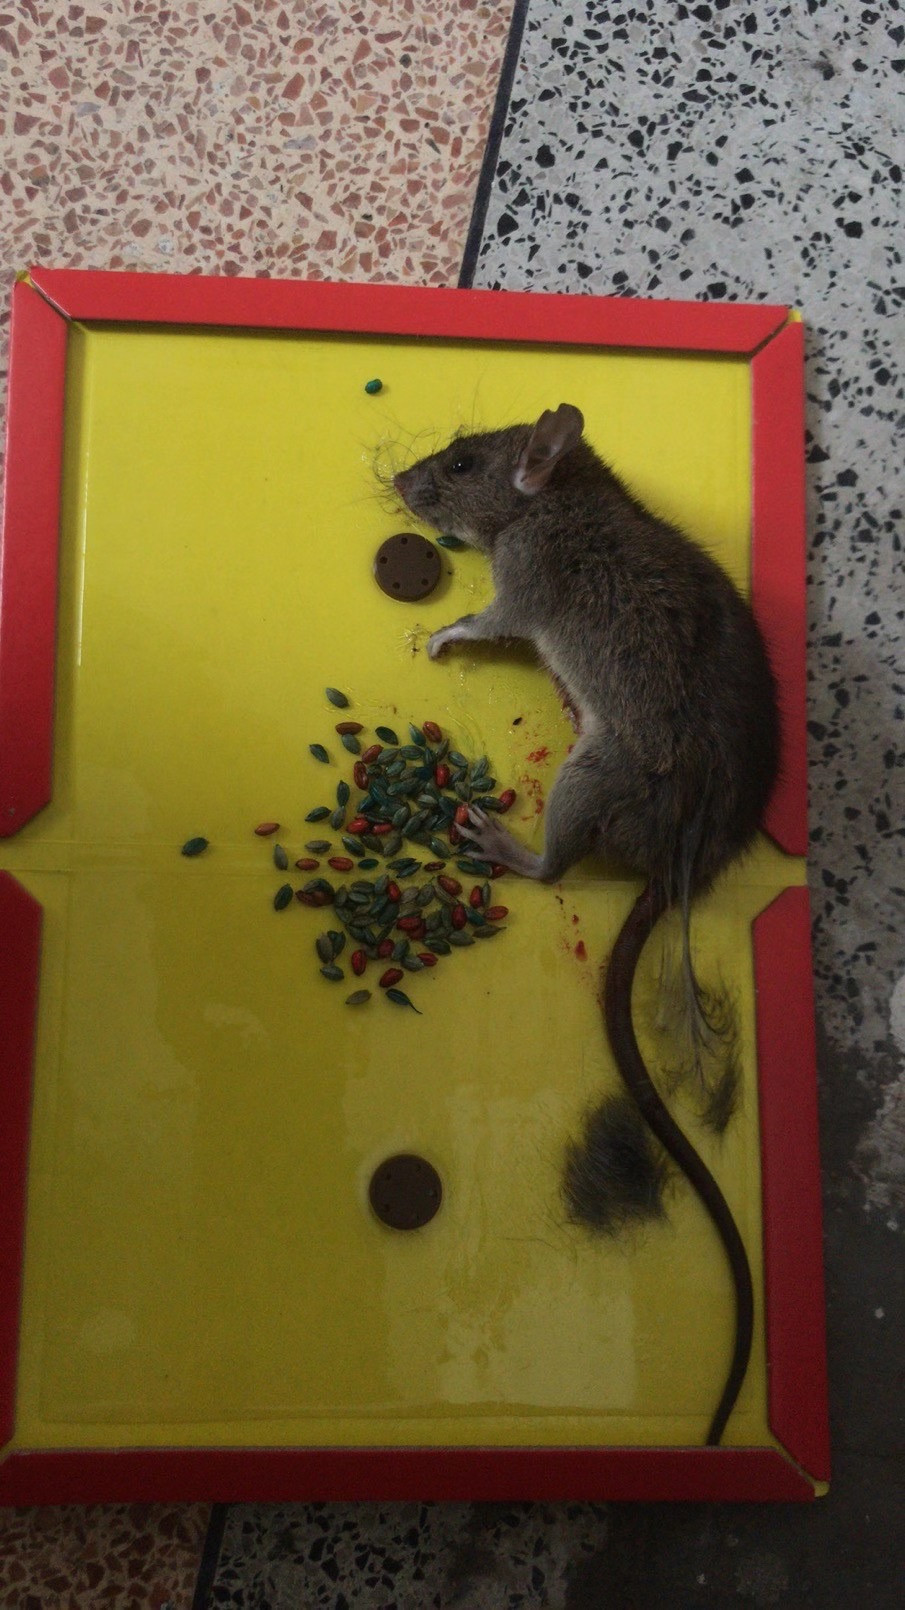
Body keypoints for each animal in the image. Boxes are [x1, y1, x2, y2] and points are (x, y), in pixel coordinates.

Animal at [393, 404, 780, 1446]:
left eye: (459, 465)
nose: (395, 480)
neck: (567, 493)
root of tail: (689, 856)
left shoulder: (519, 588)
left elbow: (487, 620)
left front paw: (442, 633)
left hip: (590, 776)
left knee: (556, 866)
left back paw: (501, 842)